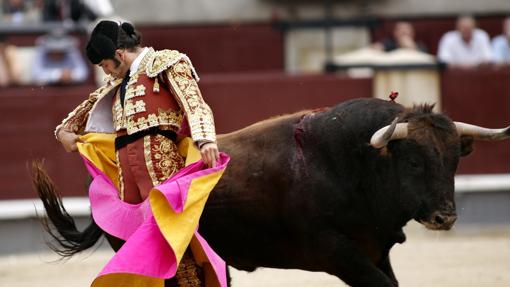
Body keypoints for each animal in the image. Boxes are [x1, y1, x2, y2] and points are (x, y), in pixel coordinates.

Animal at [33, 98, 508, 286]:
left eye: (455, 161)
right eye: (413, 163)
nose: (445, 217)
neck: (356, 164)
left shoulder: (376, 250)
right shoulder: (337, 253)